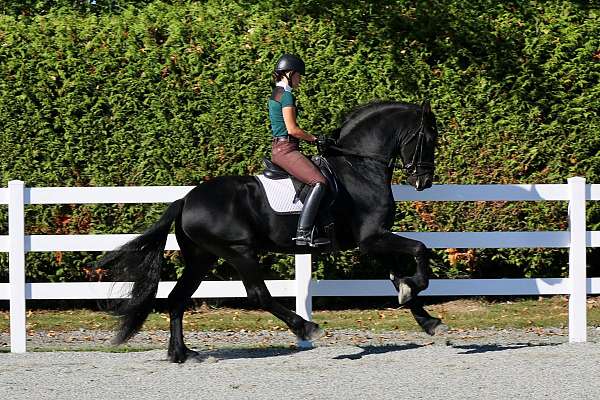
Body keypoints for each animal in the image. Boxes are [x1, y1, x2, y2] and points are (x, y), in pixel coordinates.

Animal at [99, 99, 446, 362]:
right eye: (428, 139)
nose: (424, 181)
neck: (359, 168)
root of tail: (186, 199)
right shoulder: (372, 237)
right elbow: (419, 249)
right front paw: (419, 287)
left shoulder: (372, 240)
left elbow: (397, 277)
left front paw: (427, 319)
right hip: (238, 252)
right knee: (258, 295)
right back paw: (306, 328)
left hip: (203, 258)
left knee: (177, 298)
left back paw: (182, 353)